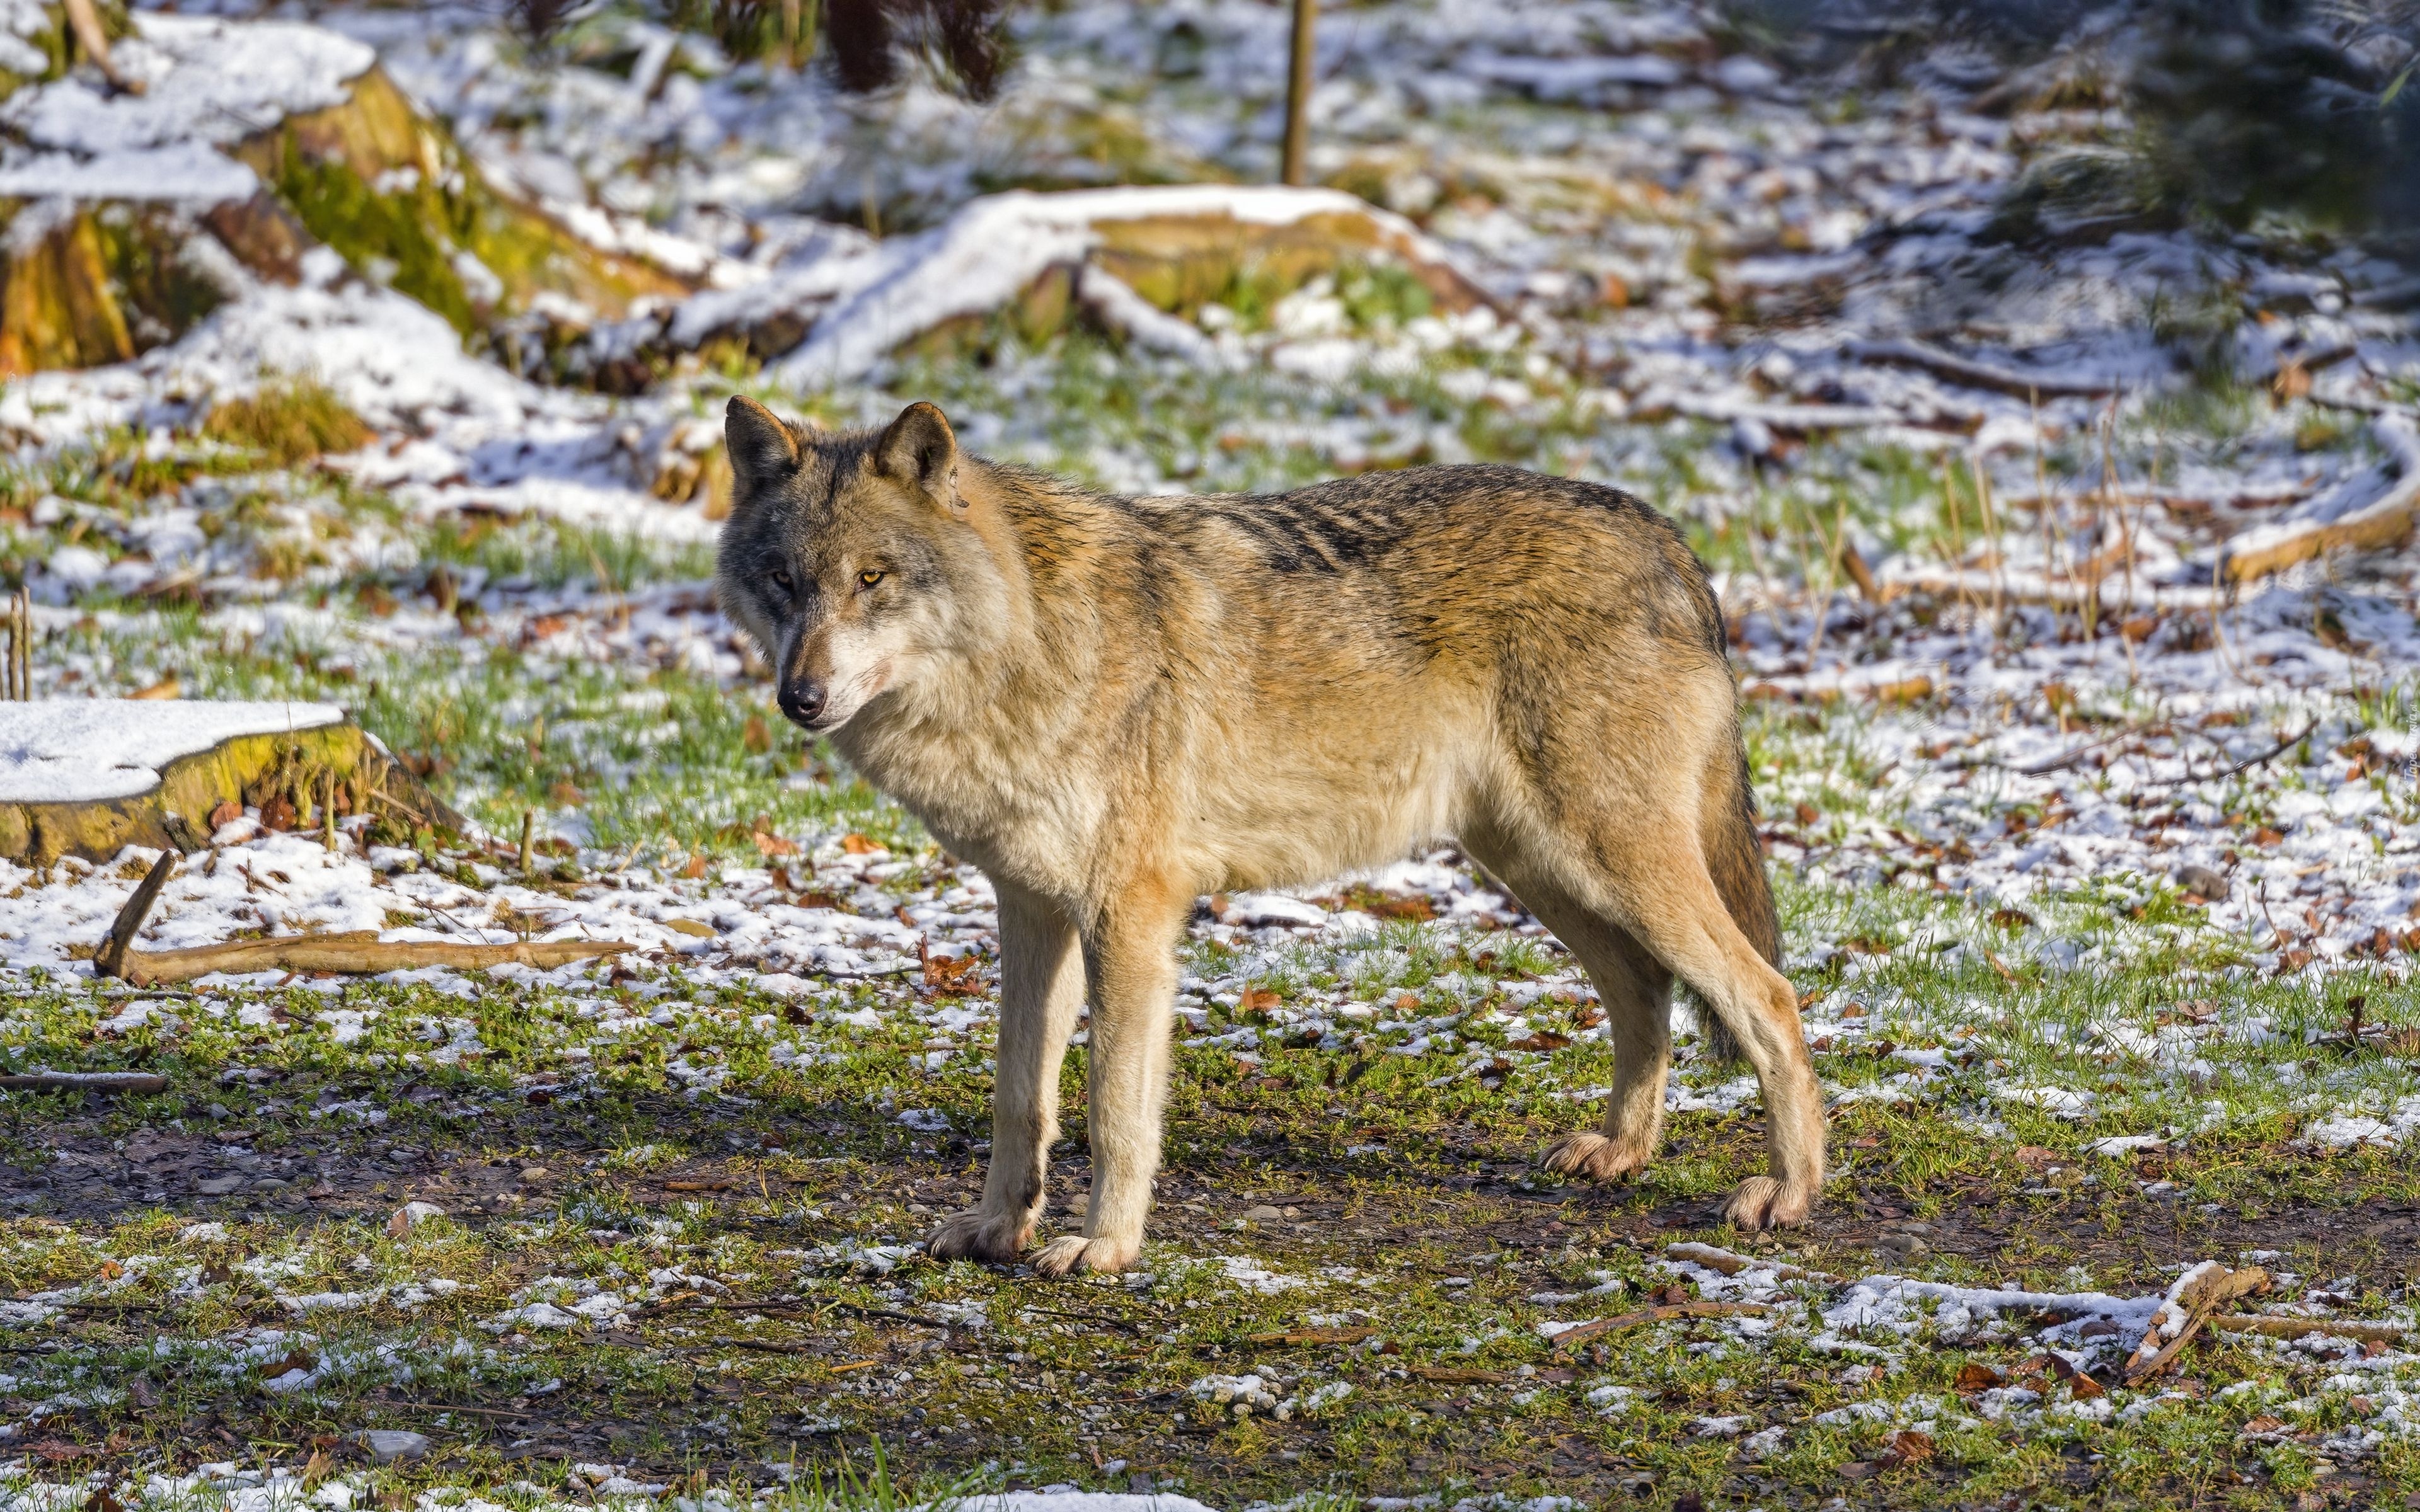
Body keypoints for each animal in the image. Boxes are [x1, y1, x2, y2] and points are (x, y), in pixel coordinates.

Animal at [716, 394, 1829, 1268]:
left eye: (872, 580)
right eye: (785, 581)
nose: (799, 698)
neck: (1026, 640)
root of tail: (1668, 536)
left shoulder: (1132, 915)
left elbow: (1115, 1113)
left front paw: (1105, 1248)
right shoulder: (1032, 910)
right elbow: (1019, 1100)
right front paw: (997, 1231)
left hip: (1607, 862)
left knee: (1768, 996)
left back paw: (1788, 1195)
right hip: (1543, 869)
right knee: (1645, 992)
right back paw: (1621, 1152)